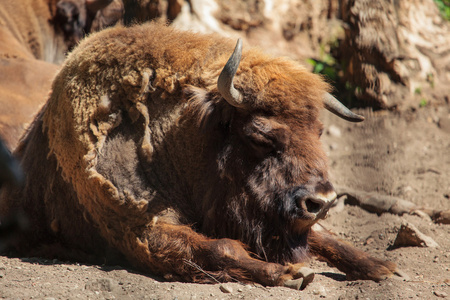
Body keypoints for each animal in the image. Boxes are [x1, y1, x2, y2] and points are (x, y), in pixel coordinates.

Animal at [1, 22, 400, 288]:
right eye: (259, 136)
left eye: (318, 131)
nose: (321, 201)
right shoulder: (144, 231)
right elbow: (223, 249)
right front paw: (292, 273)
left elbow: (324, 236)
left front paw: (382, 266)